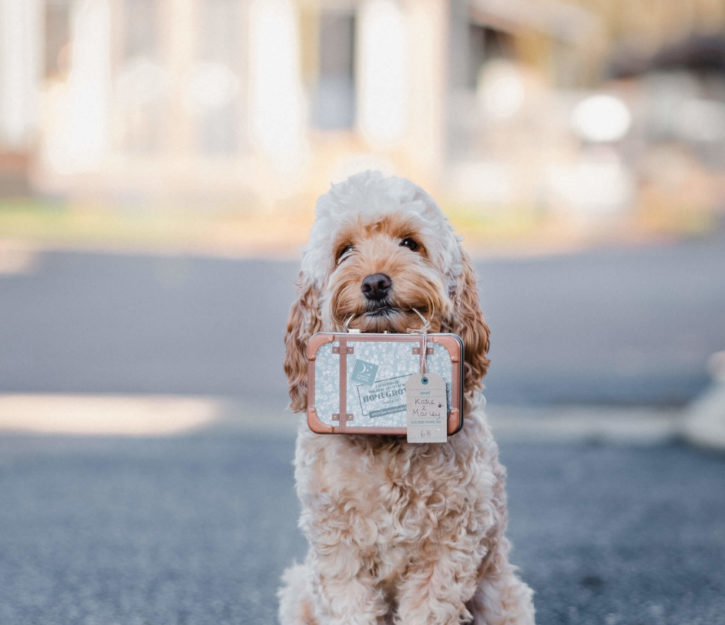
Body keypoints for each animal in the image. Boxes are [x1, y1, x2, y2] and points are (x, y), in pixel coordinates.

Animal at [280, 172, 536, 624]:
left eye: (410, 243)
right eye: (345, 251)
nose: (376, 282)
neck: (387, 439)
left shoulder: (450, 546)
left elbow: (429, 607)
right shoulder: (338, 550)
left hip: (504, 597)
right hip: (298, 593)